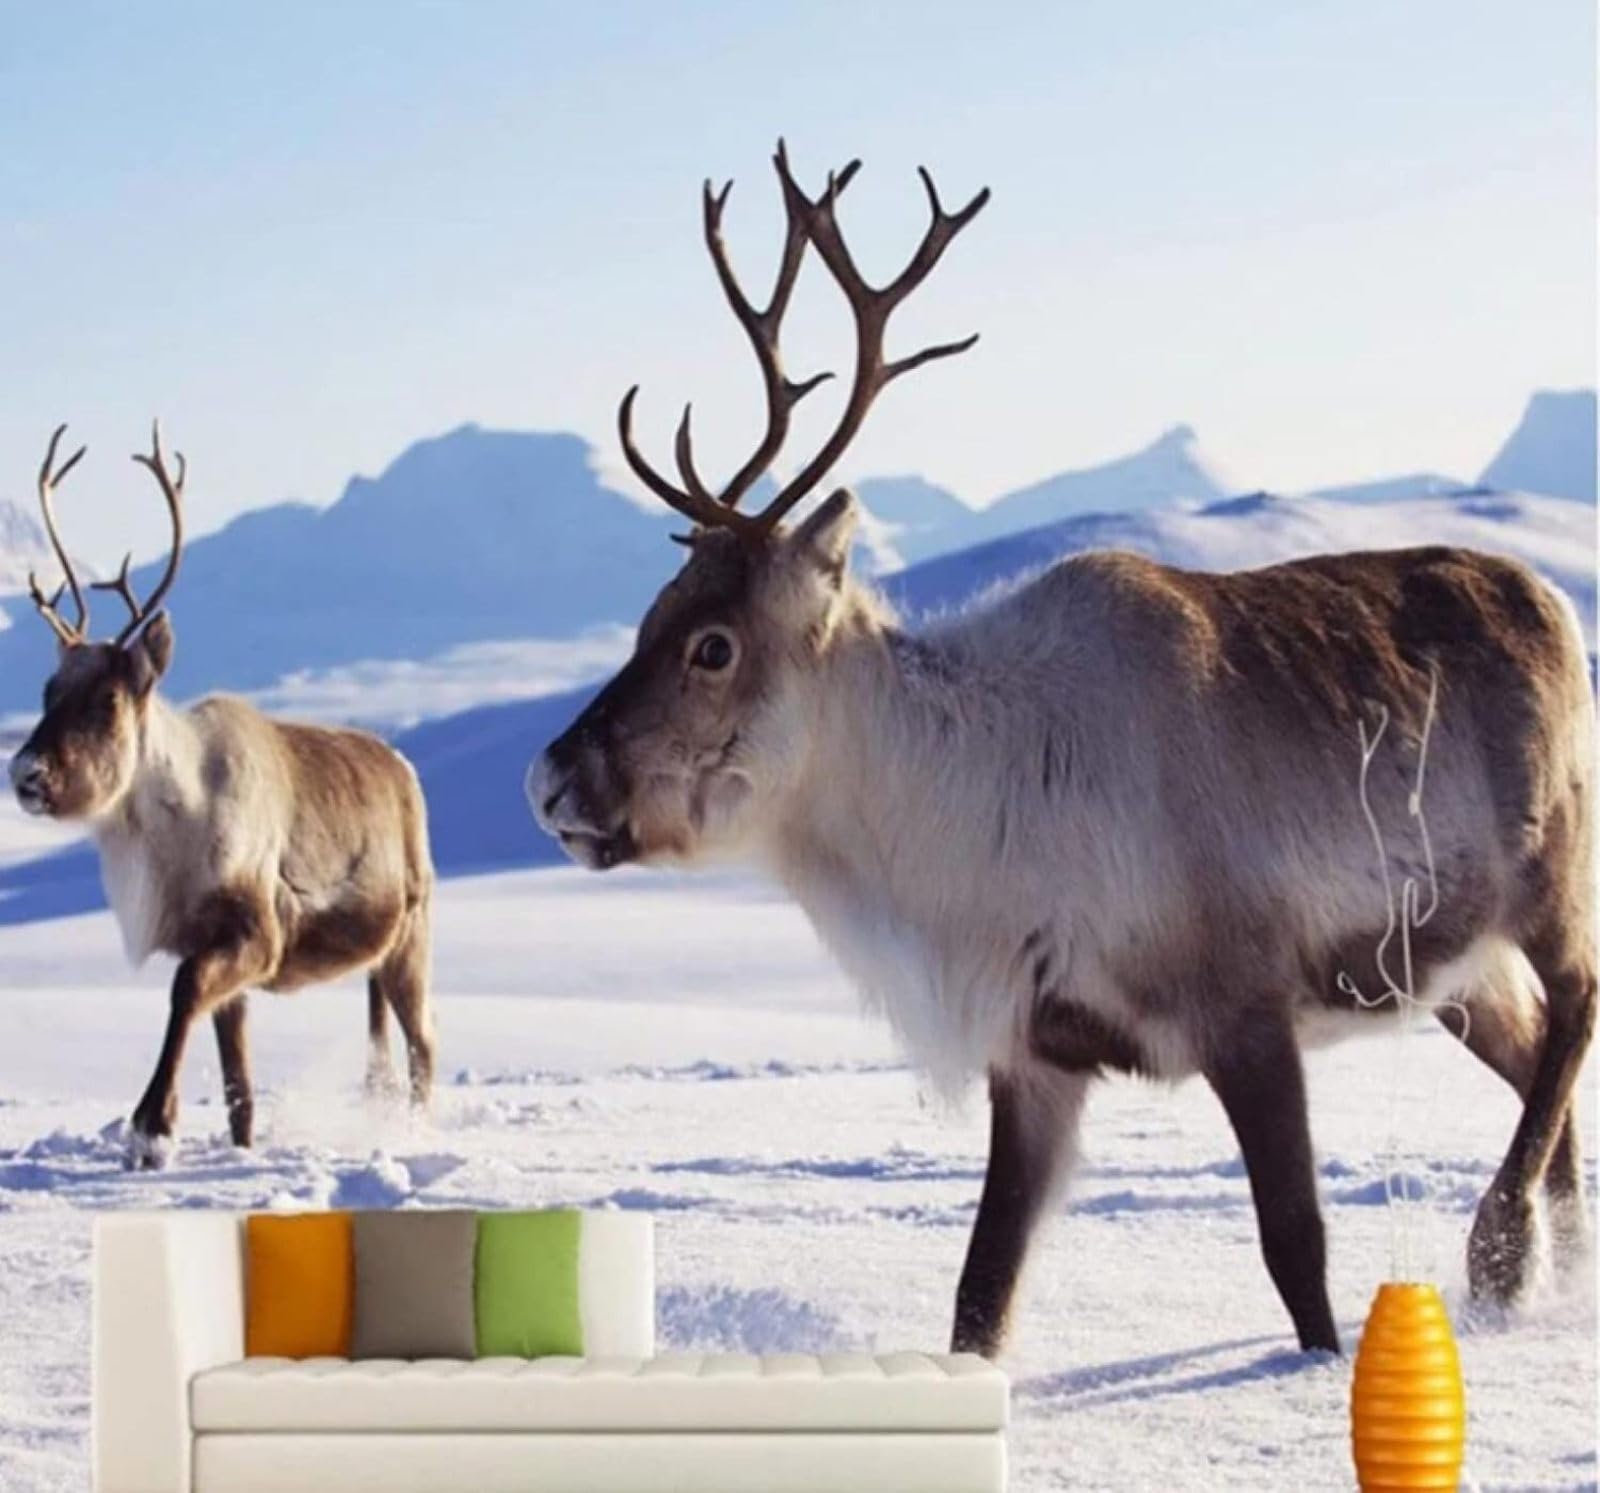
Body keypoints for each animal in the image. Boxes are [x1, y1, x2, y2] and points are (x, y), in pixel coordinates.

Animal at [8, 424, 436, 1170]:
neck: (169, 832)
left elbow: (182, 995)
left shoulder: (255, 933)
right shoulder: (211, 949)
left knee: (425, 1050)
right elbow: (240, 1084)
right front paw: (230, 1146)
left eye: (109, 697)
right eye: (47, 690)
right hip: (384, 955)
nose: (27, 773)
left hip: (411, 933)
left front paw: (152, 1129)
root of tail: (403, 768)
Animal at [528, 142, 1595, 1359]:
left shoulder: (1242, 1003)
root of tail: (1551, 596)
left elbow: (1296, 1248)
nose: (550, 777)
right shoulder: (1036, 1053)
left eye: (712, 644)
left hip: (1549, 872)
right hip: (1451, 967)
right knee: (1534, 1056)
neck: (964, 826)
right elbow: (981, 1290)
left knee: (1577, 1009)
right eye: (647, 614)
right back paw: (1552, 1265)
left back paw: (1503, 1246)